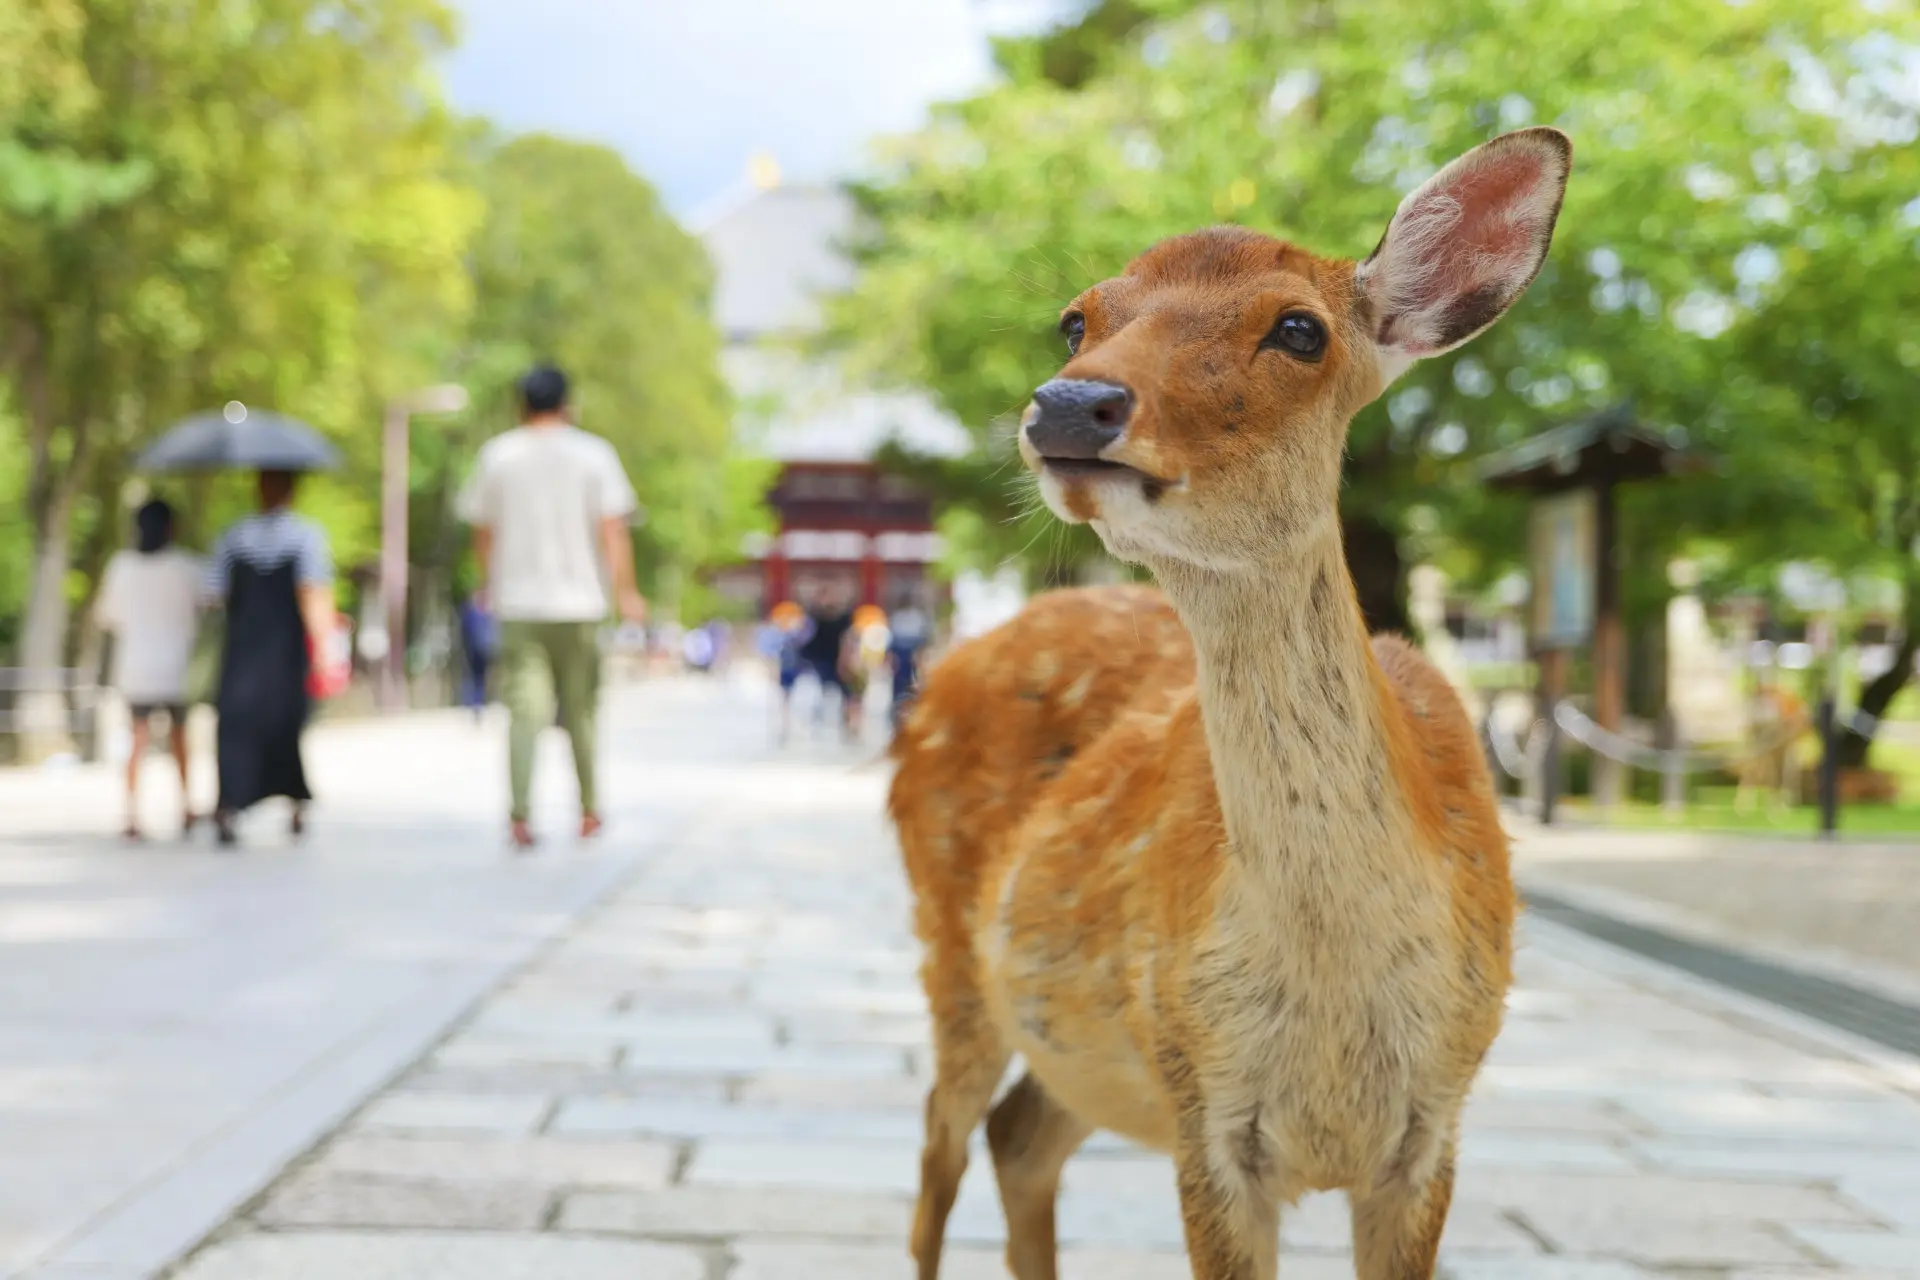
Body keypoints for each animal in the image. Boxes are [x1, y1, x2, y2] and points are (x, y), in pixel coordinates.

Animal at [889, 127, 1571, 1280]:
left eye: (1300, 328)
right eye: (1079, 317)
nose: (1068, 404)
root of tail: (936, 677)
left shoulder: (1434, 1123)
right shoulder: (1204, 1102)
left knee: (1018, 1136)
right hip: (952, 947)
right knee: (939, 1149)